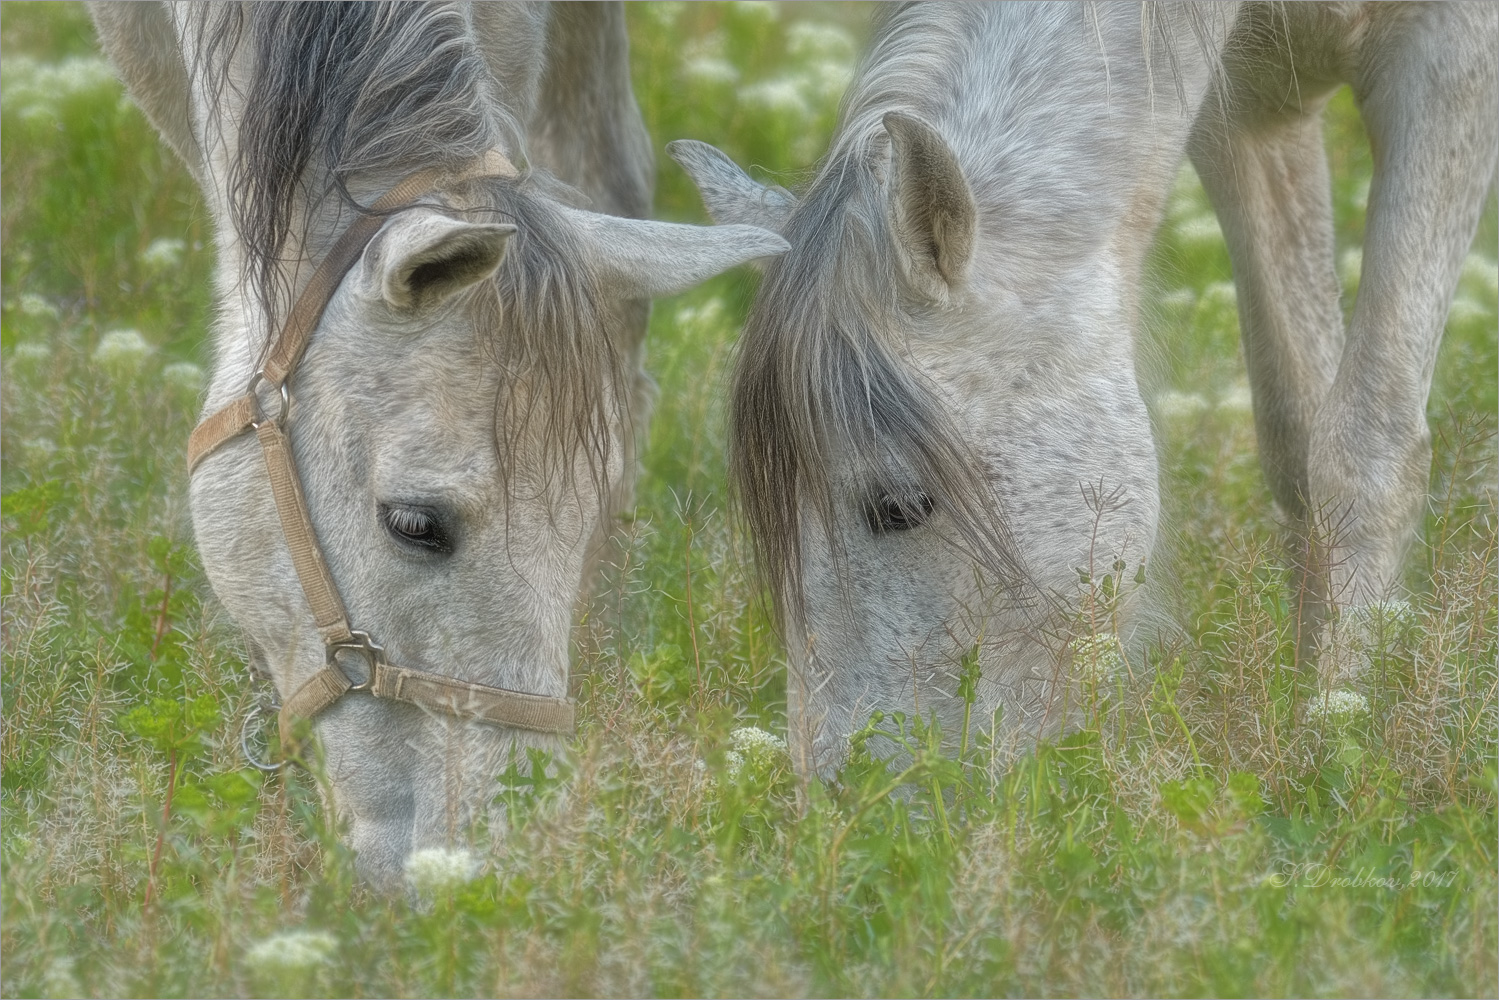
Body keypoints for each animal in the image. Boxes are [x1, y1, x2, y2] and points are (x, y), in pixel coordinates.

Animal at [674, 3, 1493, 779]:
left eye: (899, 507)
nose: (842, 800)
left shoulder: (1452, 52)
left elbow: (1363, 454)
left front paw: (1336, 734)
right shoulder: (1250, 104)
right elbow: (1297, 440)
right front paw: (1317, 707)